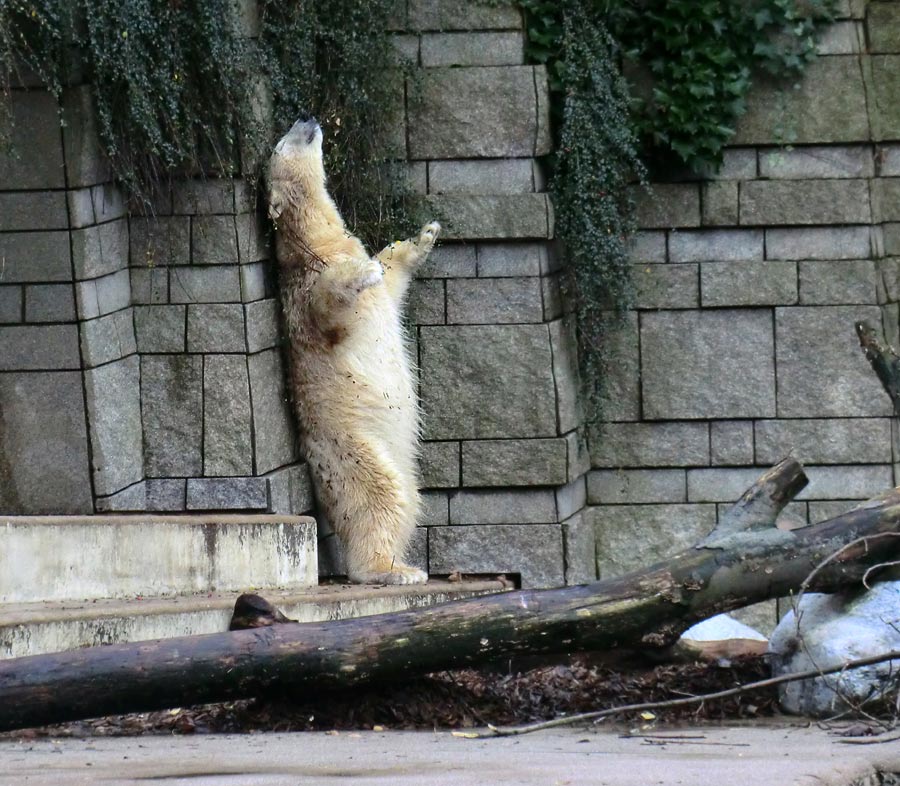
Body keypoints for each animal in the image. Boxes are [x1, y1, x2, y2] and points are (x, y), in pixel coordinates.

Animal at [266, 116, 438, 580]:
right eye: (280, 145)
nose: (305, 116)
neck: (315, 242)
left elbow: (392, 279)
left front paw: (425, 235)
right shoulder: (303, 291)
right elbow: (330, 304)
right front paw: (363, 272)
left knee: (410, 498)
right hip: (353, 451)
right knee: (381, 499)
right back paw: (393, 569)